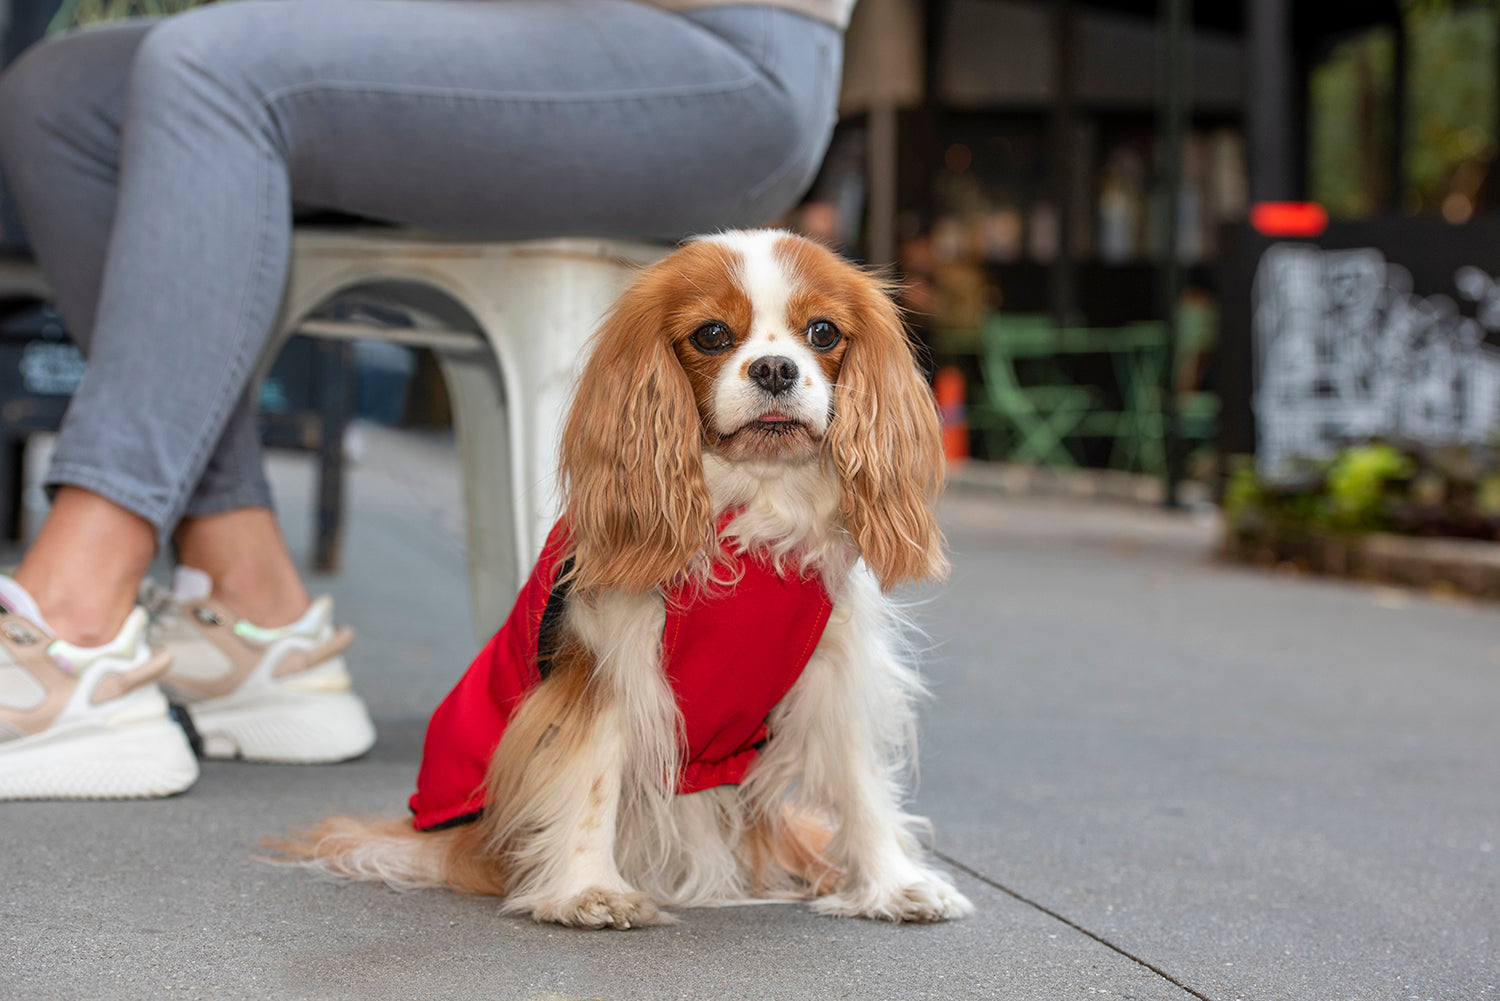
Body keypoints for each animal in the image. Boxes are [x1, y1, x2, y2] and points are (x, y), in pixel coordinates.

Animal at [283, 231, 972, 930]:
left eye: (823, 331)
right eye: (712, 335)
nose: (776, 368)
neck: (752, 504)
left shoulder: (833, 666)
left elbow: (862, 783)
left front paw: (894, 882)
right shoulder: (605, 664)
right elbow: (592, 780)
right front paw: (589, 890)